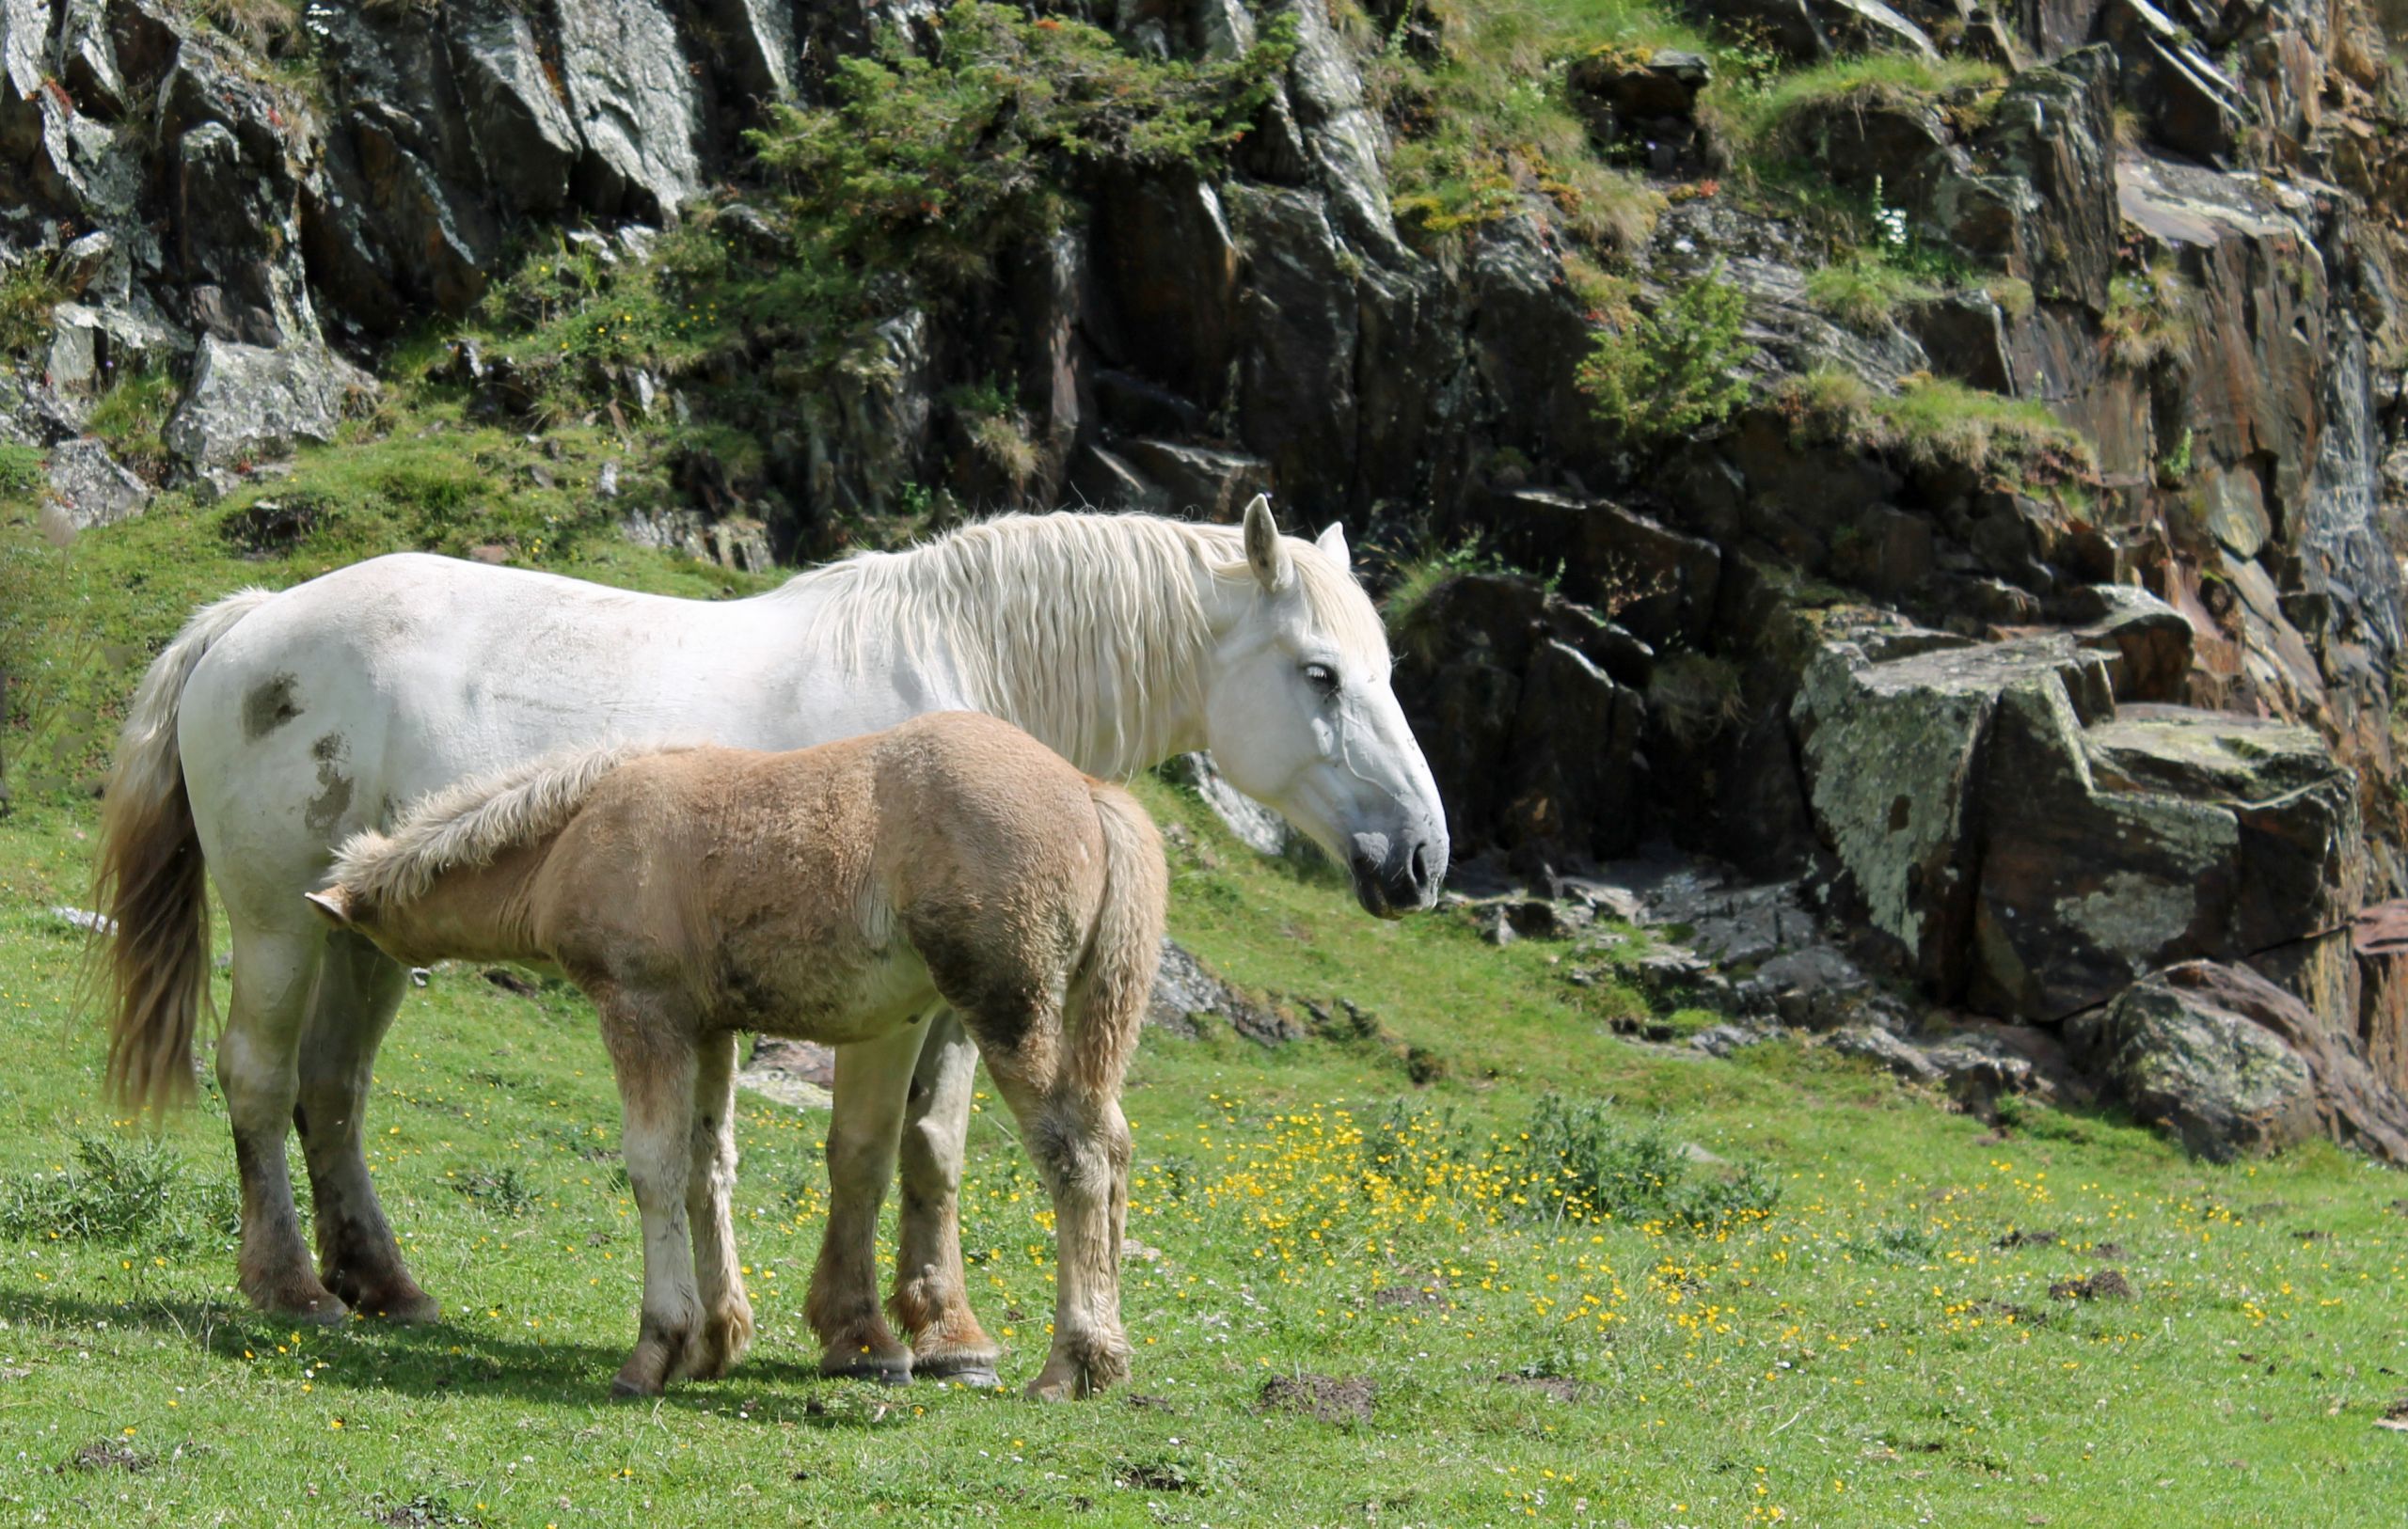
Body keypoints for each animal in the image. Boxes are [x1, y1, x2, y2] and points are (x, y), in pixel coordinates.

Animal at [93, 498, 1445, 1386]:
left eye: (1382, 666)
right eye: (1320, 673)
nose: (1422, 859)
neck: (959, 670)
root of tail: (253, 620)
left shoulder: (951, 1006)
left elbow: (931, 1150)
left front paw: (945, 1328)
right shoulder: (887, 1004)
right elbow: (858, 1149)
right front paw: (858, 1330)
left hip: (366, 938)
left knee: (332, 1090)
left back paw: (388, 1284)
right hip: (278, 922)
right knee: (259, 1079)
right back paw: (294, 1288)